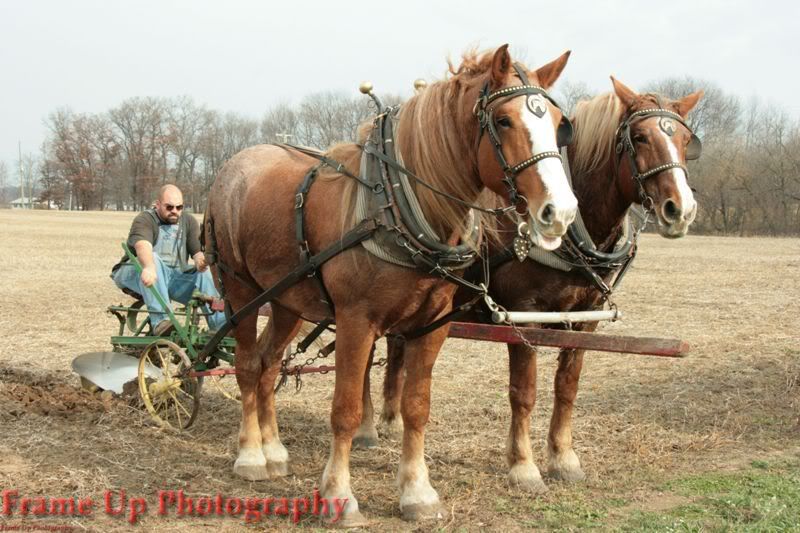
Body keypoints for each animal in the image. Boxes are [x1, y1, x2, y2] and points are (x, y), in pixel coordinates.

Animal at [203, 44, 580, 524]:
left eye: (559, 123)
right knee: (250, 365)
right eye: (503, 121)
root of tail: (231, 168)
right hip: (242, 293)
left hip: (287, 299)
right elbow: (345, 411)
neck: (397, 206)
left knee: (271, 363)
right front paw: (338, 495)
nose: (560, 212)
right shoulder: (355, 322)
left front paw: (417, 492)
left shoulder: (432, 326)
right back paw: (251, 454)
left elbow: (415, 408)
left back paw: (274, 450)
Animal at [370, 77, 708, 492]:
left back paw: (389, 419)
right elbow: (524, 392)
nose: (682, 209)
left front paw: (563, 458)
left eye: (686, 140)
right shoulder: (524, 315)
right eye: (640, 138)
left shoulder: (586, 317)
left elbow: (567, 387)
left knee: (397, 349)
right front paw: (523, 466)